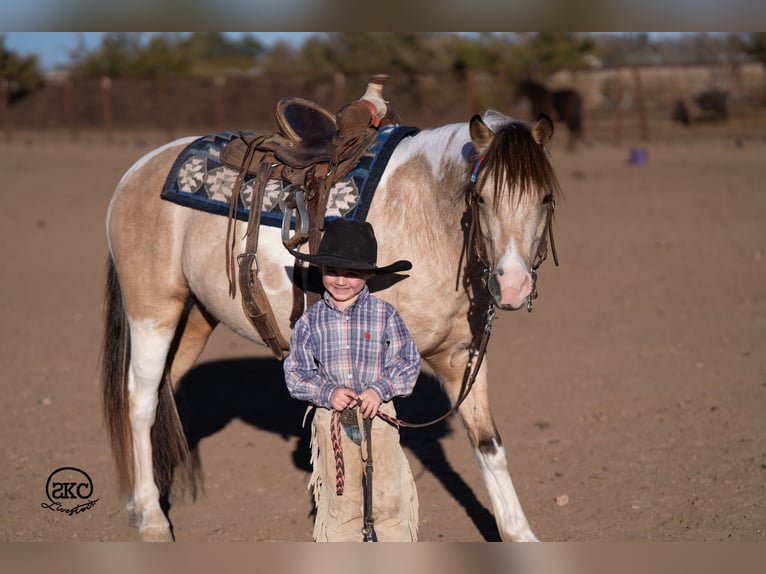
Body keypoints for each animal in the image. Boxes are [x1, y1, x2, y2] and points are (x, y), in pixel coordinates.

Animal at [101, 108, 562, 542]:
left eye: (544, 198)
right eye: (480, 198)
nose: (513, 285)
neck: (425, 215)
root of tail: (134, 173)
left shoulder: (460, 359)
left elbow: (489, 445)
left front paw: (520, 534)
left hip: (196, 317)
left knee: (164, 391)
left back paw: (144, 501)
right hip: (153, 313)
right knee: (140, 402)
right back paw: (152, 518)